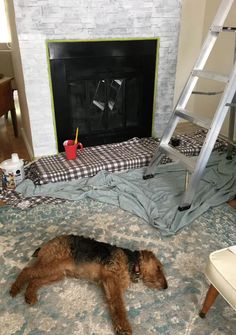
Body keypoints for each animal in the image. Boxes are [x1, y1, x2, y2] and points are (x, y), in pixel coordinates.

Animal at [9, 236, 168, 335]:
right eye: (159, 268)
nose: (166, 287)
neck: (131, 262)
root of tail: (45, 245)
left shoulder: (110, 284)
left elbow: (115, 305)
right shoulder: (112, 281)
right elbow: (119, 307)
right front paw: (124, 328)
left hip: (57, 273)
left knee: (34, 280)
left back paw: (29, 296)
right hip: (52, 265)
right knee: (27, 271)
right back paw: (15, 289)